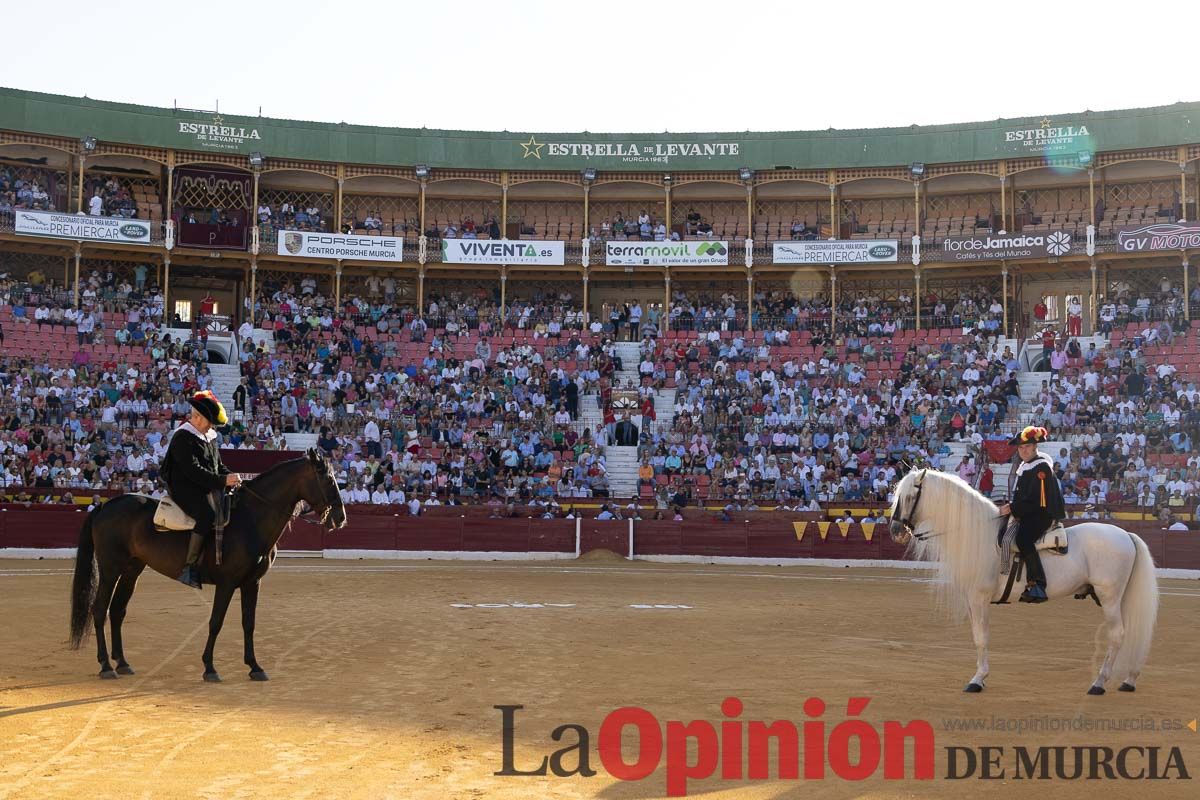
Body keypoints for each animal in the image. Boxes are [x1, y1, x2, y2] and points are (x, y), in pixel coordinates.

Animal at [69, 450, 345, 681]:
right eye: (327, 478)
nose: (340, 518)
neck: (250, 519)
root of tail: (105, 505)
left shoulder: (252, 583)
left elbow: (249, 623)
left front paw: (255, 667)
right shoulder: (226, 584)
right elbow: (216, 622)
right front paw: (210, 668)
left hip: (131, 571)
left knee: (117, 611)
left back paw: (123, 663)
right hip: (110, 570)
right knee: (99, 610)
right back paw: (106, 665)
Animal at [892, 470, 1152, 695]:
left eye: (910, 496)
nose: (895, 530)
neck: (979, 534)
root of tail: (1126, 535)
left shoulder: (979, 598)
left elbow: (981, 638)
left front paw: (977, 679)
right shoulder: (971, 600)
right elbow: (978, 636)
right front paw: (981, 677)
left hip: (1109, 597)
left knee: (1117, 634)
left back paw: (1099, 683)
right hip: (1116, 598)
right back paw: (1129, 679)